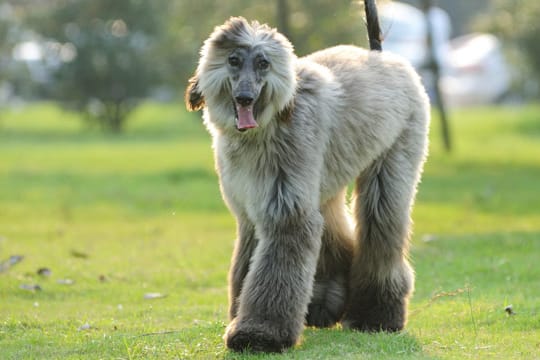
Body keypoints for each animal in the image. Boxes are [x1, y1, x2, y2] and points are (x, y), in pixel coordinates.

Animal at [186, 13, 430, 352]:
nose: (245, 97)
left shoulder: (286, 208)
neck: (268, 126)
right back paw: (326, 305)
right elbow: (246, 263)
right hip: (326, 178)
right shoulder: (249, 209)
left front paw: (259, 333)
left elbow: (277, 264)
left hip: (394, 156)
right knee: (335, 234)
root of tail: (381, 56)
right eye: (233, 60)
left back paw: (376, 315)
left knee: (381, 227)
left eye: (263, 63)